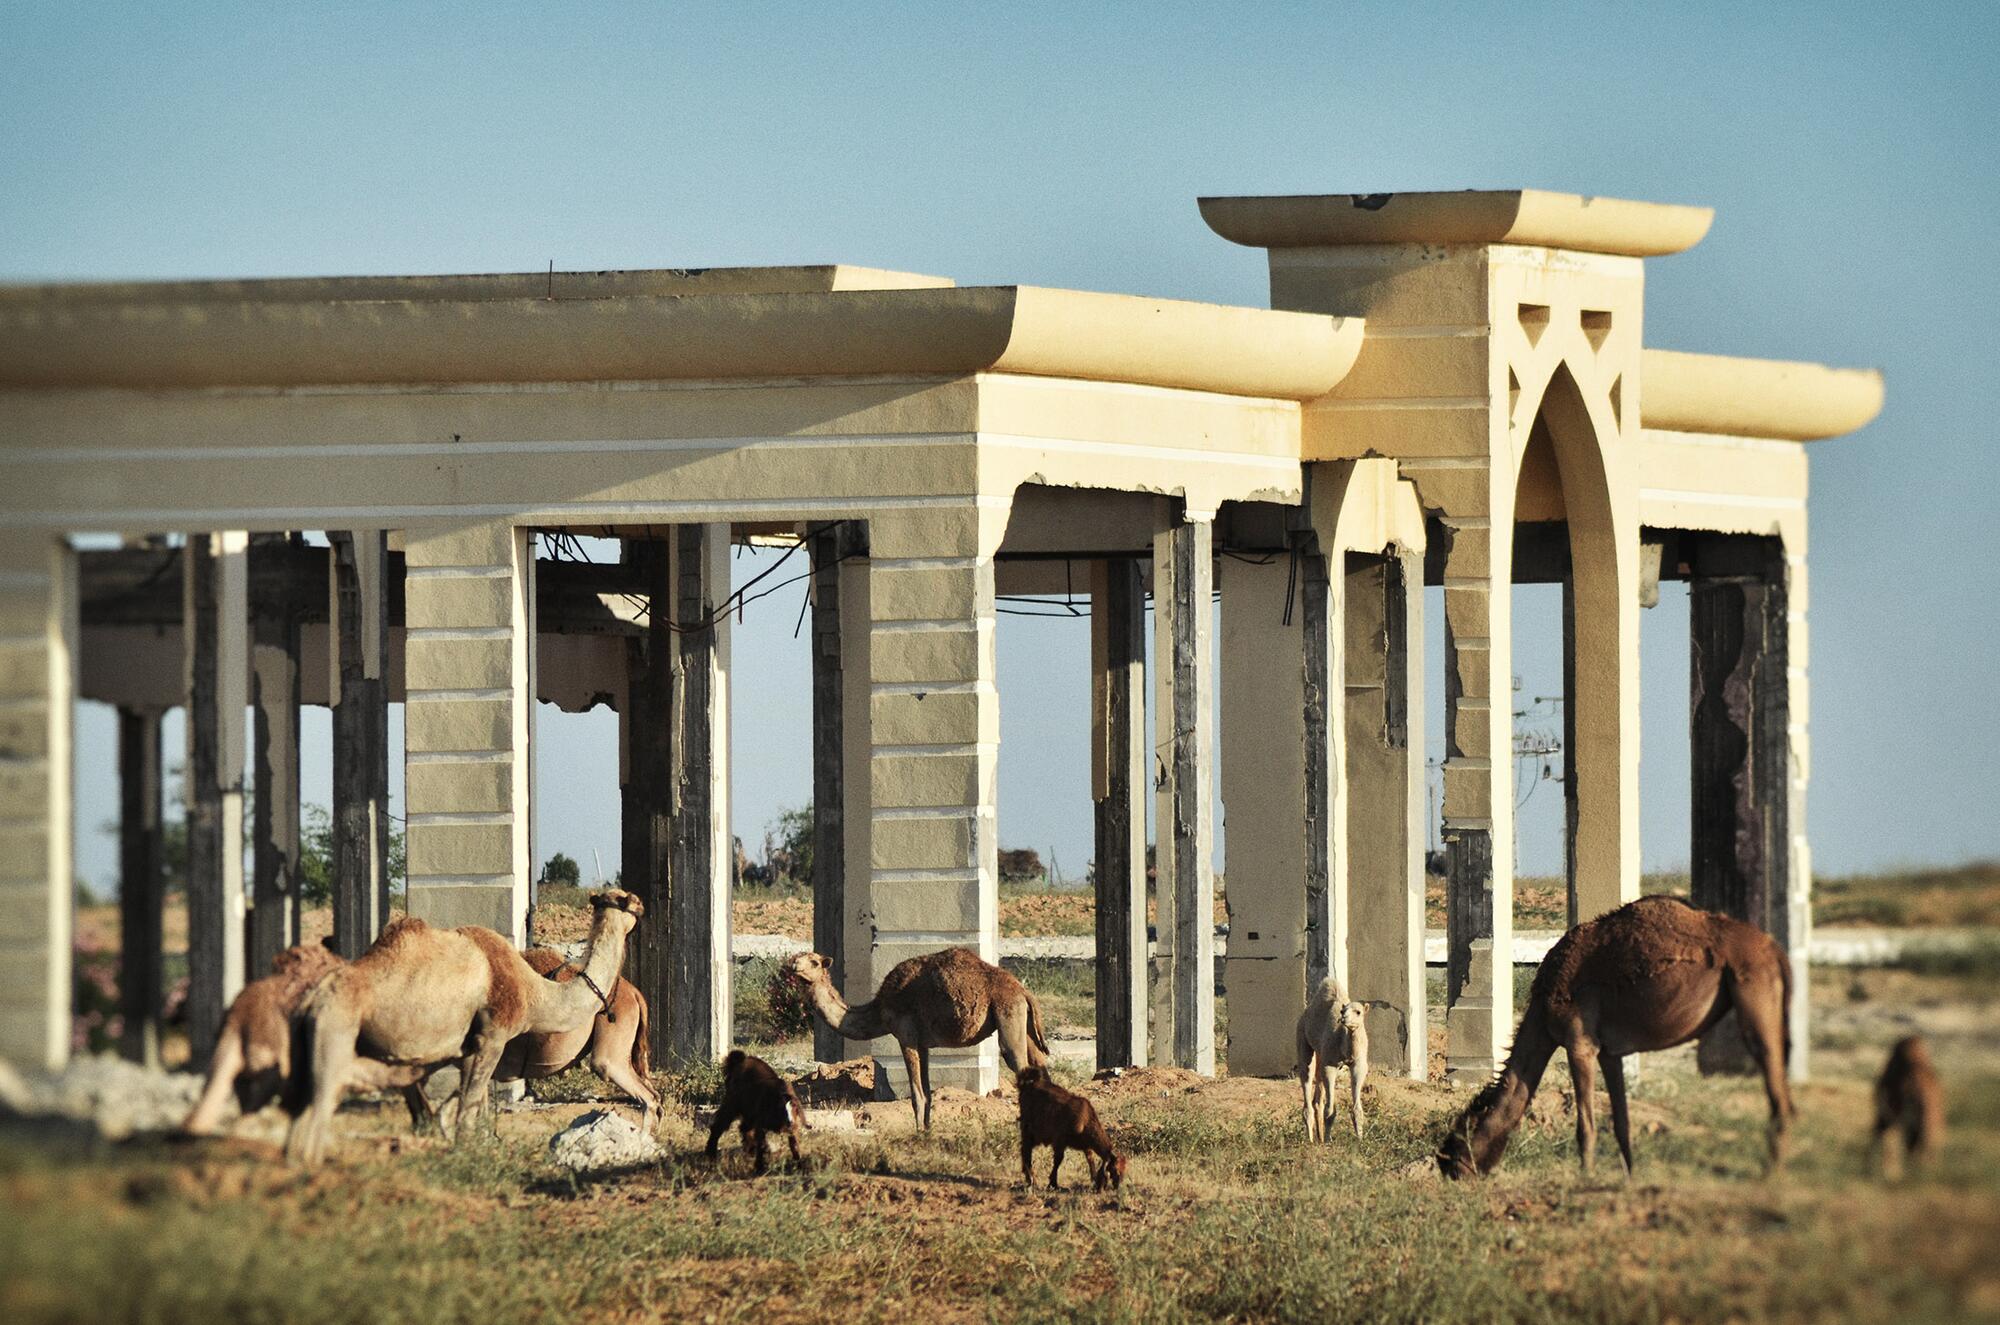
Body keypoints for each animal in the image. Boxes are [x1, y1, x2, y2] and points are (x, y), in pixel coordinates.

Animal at [282, 892, 636, 1160]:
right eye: (628, 902)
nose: (642, 905)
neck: (532, 990)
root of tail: (312, 1001)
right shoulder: (493, 1036)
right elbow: (467, 1114)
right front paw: (470, 1159)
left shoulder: (469, 1049)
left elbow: (466, 1107)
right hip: (334, 1032)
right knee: (316, 1115)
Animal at [784, 944, 1056, 1128]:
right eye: (796, 959)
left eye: (814, 962)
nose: (795, 968)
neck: (879, 1009)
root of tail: (1023, 991)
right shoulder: (923, 1044)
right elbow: (927, 1091)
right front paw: (927, 1131)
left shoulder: (906, 1037)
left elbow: (917, 1094)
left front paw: (917, 1134)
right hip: (1022, 1022)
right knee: (1041, 1064)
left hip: (1008, 1014)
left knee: (1017, 1060)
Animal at [1296, 980, 1376, 1144]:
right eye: (1342, 1011)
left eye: (1358, 1012)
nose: (1344, 1018)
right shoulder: (1330, 1065)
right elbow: (1330, 1110)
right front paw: (1328, 1140)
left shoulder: (1358, 1065)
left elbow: (1357, 1109)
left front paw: (1360, 1139)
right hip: (1303, 1039)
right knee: (1307, 1078)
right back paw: (1311, 1140)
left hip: (1320, 1054)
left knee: (1317, 1099)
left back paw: (1319, 1138)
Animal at [1440, 896, 1800, 1176]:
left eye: (1458, 1143)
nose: (1450, 1172)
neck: (1542, 1008)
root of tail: (1774, 950)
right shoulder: (1609, 1053)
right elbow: (1621, 1122)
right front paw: (1629, 1179)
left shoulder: (1579, 1043)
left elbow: (1586, 1126)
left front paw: (1585, 1181)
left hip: (1753, 989)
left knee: (1775, 1086)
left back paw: (1771, 1174)